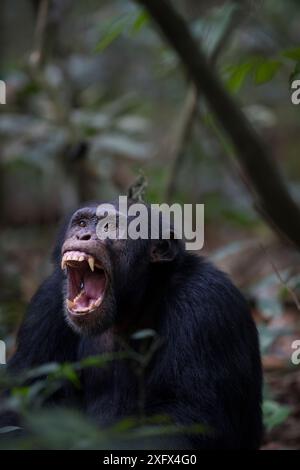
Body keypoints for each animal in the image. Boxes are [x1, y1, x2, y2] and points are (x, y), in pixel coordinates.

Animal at [1, 200, 262, 450]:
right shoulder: (47, 301)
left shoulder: (205, 304)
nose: (83, 235)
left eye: (110, 226)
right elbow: (18, 398)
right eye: (82, 223)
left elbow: (189, 418)